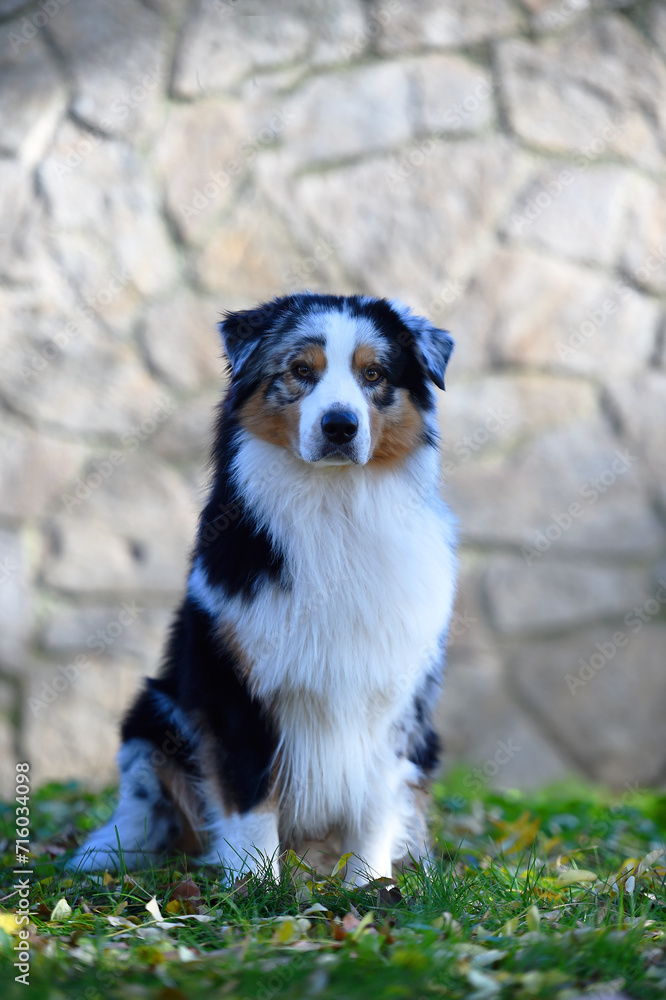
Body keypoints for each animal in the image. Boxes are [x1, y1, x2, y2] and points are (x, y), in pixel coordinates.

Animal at [68, 292, 456, 888]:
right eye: (300, 370)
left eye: (374, 374)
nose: (340, 426)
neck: (333, 507)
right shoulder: (236, 686)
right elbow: (251, 797)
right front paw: (255, 886)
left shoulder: (394, 690)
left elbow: (372, 802)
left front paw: (369, 886)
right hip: (154, 714)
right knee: (146, 815)